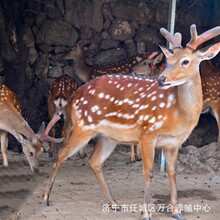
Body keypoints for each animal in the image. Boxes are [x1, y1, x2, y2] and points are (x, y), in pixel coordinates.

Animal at [43, 24, 220, 220]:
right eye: (168, 60)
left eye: (185, 61)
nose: (162, 79)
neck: (179, 115)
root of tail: (76, 94)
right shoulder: (148, 133)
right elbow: (148, 172)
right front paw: (146, 213)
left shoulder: (173, 143)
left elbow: (172, 173)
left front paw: (176, 211)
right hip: (83, 125)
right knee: (62, 152)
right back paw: (46, 197)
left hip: (108, 137)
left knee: (94, 160)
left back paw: (113, 203)